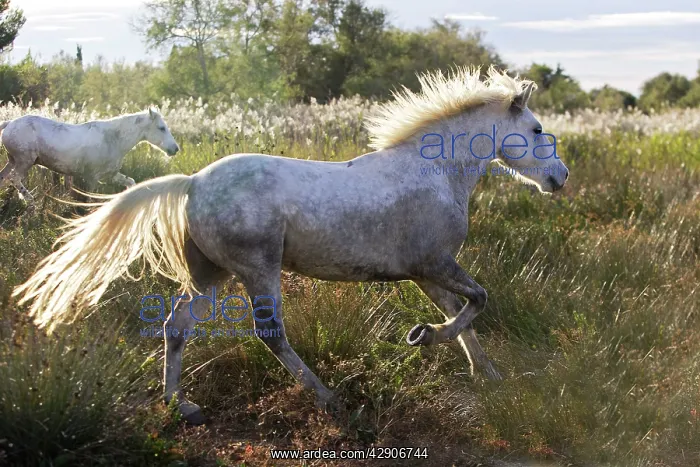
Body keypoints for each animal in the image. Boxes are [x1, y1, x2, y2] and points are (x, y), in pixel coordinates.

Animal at [0, 108, 179, 212]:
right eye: (161, 128)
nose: (175, 149)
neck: (113, 139)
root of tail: (8, 124)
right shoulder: (92, 177)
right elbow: (89, 199)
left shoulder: (111, 174)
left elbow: (130, 182)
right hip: (24, 161)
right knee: (14, 178)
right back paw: (31, 203)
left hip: (13, 161)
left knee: (4, 177)